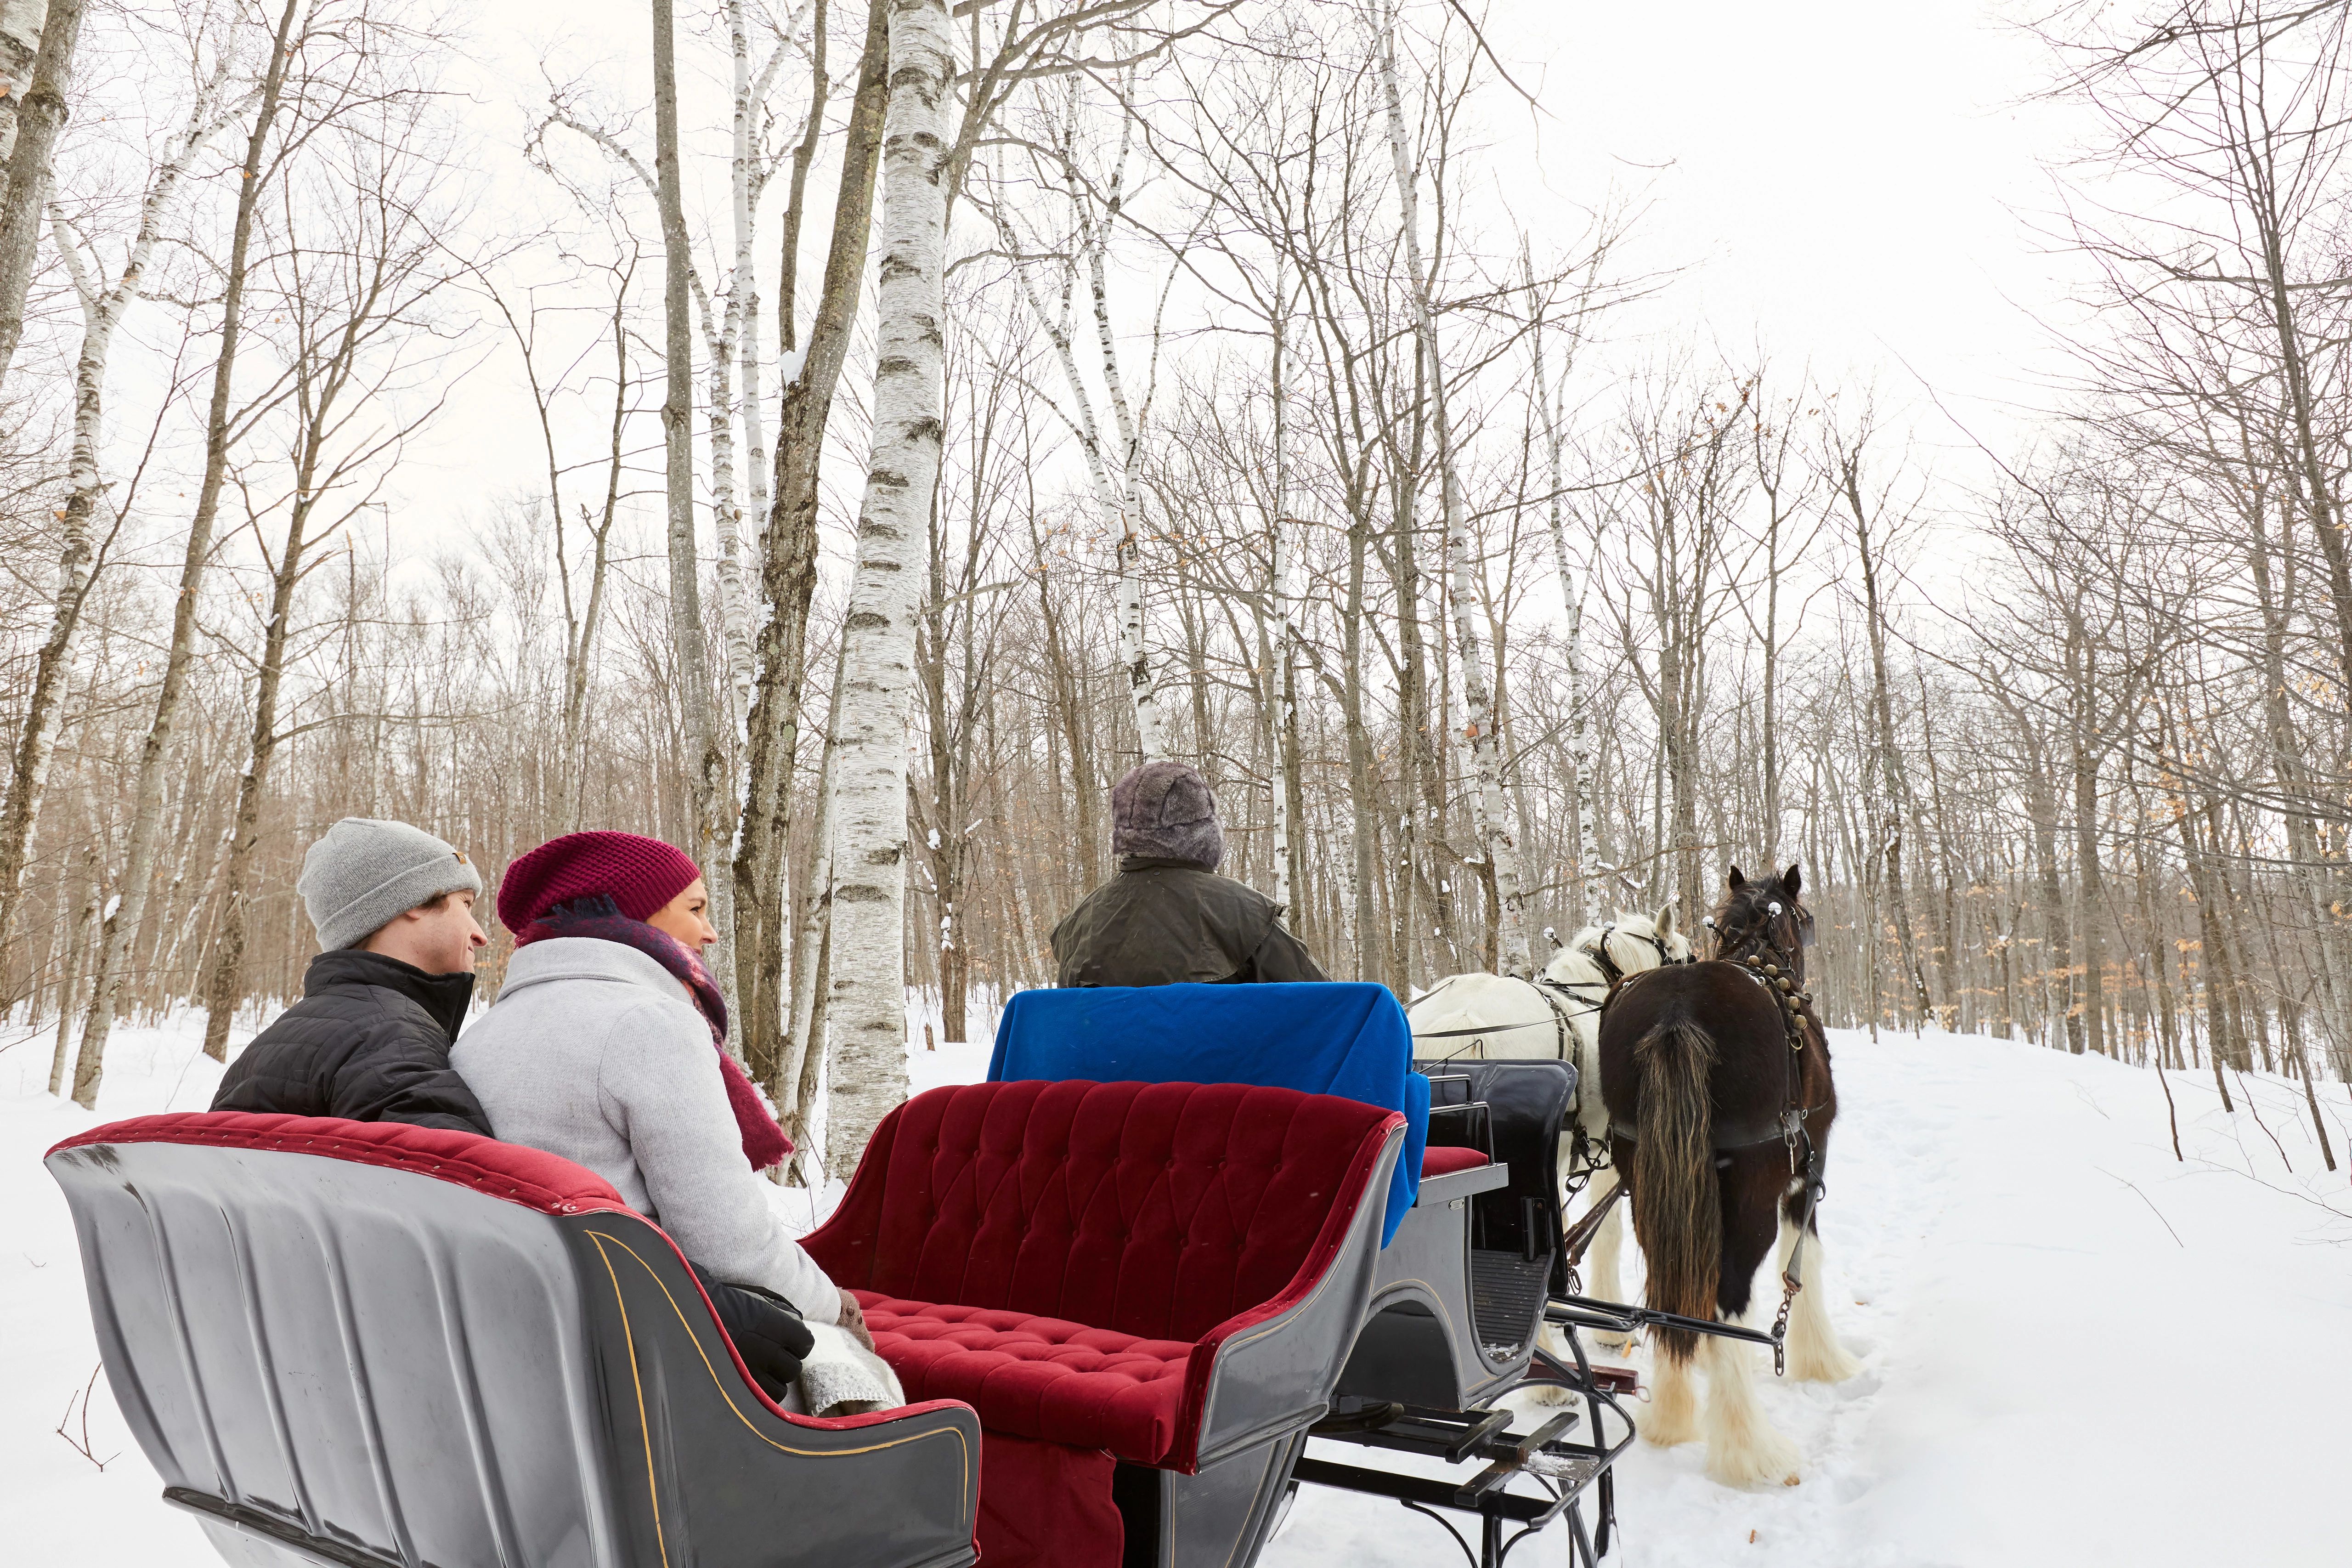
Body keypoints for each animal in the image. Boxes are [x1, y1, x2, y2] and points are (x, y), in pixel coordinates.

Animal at [1599, 865, 1853, 1495]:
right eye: (1804, 919)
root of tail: (1676, 1011)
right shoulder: (1806, 1169)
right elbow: (1802, 1260)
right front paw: (1822, 1359)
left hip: (1645, 1176)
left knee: (1669, 1287)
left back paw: (1671, 1415)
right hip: (1751, 1188)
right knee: (1729, 1292)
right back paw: (1748, 1448)